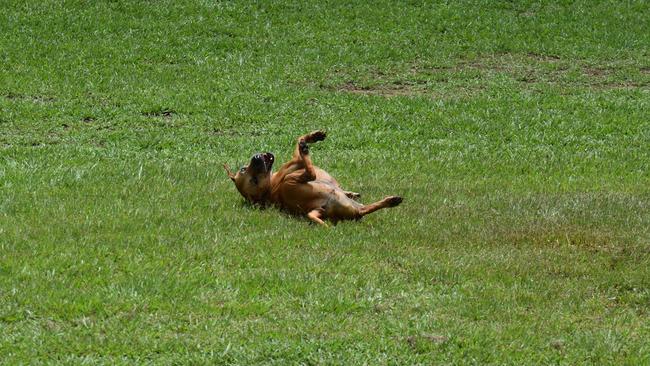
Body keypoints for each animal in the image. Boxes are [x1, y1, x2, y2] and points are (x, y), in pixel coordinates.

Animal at [225, 130, 402, 224]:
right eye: (253, 180)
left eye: (243, 169)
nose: (256, 158)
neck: (272, 187)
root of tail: (323, 209)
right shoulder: (294, 166)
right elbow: (300, 146)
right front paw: (307, 142)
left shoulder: (293, 162)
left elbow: (298, 139)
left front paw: (313, 136)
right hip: (293, 182)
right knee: (311, 171)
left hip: (353, 208)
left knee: (363, 208)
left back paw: (390, 201)